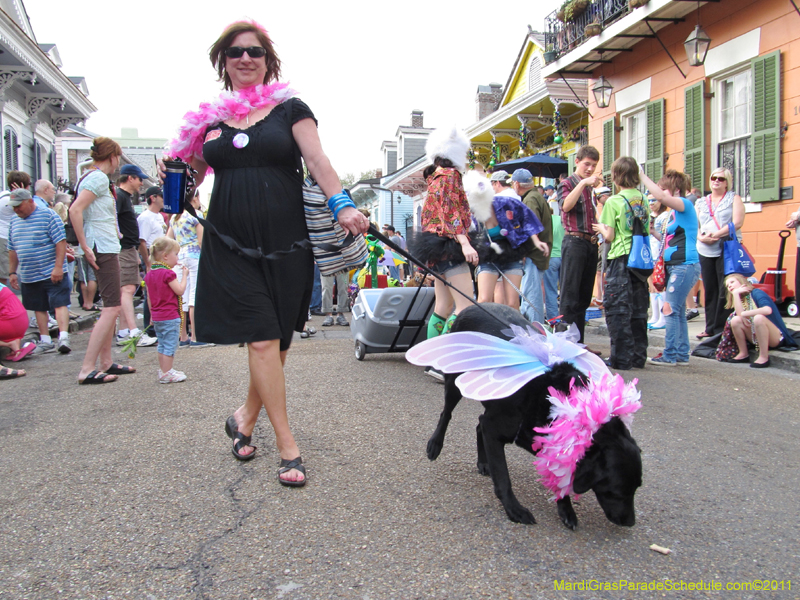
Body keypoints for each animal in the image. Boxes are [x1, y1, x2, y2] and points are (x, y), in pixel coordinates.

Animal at [424, 304, 644, 528]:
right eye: (617, 492)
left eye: (636, 488)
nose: (630, 522)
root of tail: (469, 307)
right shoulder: (495, 429)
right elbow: (503, 477)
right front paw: (514, 509)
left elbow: (559, 476)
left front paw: (566, 509)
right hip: (454, 383)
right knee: (446, 414)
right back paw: (435, 445)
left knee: (478, 424)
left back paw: (484, 463)